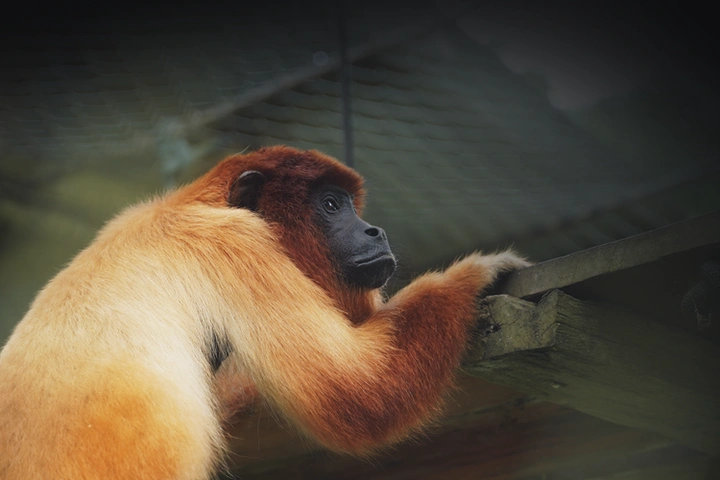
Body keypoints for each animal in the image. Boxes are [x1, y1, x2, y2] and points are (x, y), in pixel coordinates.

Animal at [0, 146, 530, 479]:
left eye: (352, 208)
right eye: (332, 205)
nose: (374, 230)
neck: (195, 202)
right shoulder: (233, 244)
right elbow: (353, 390)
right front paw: (476, 273)